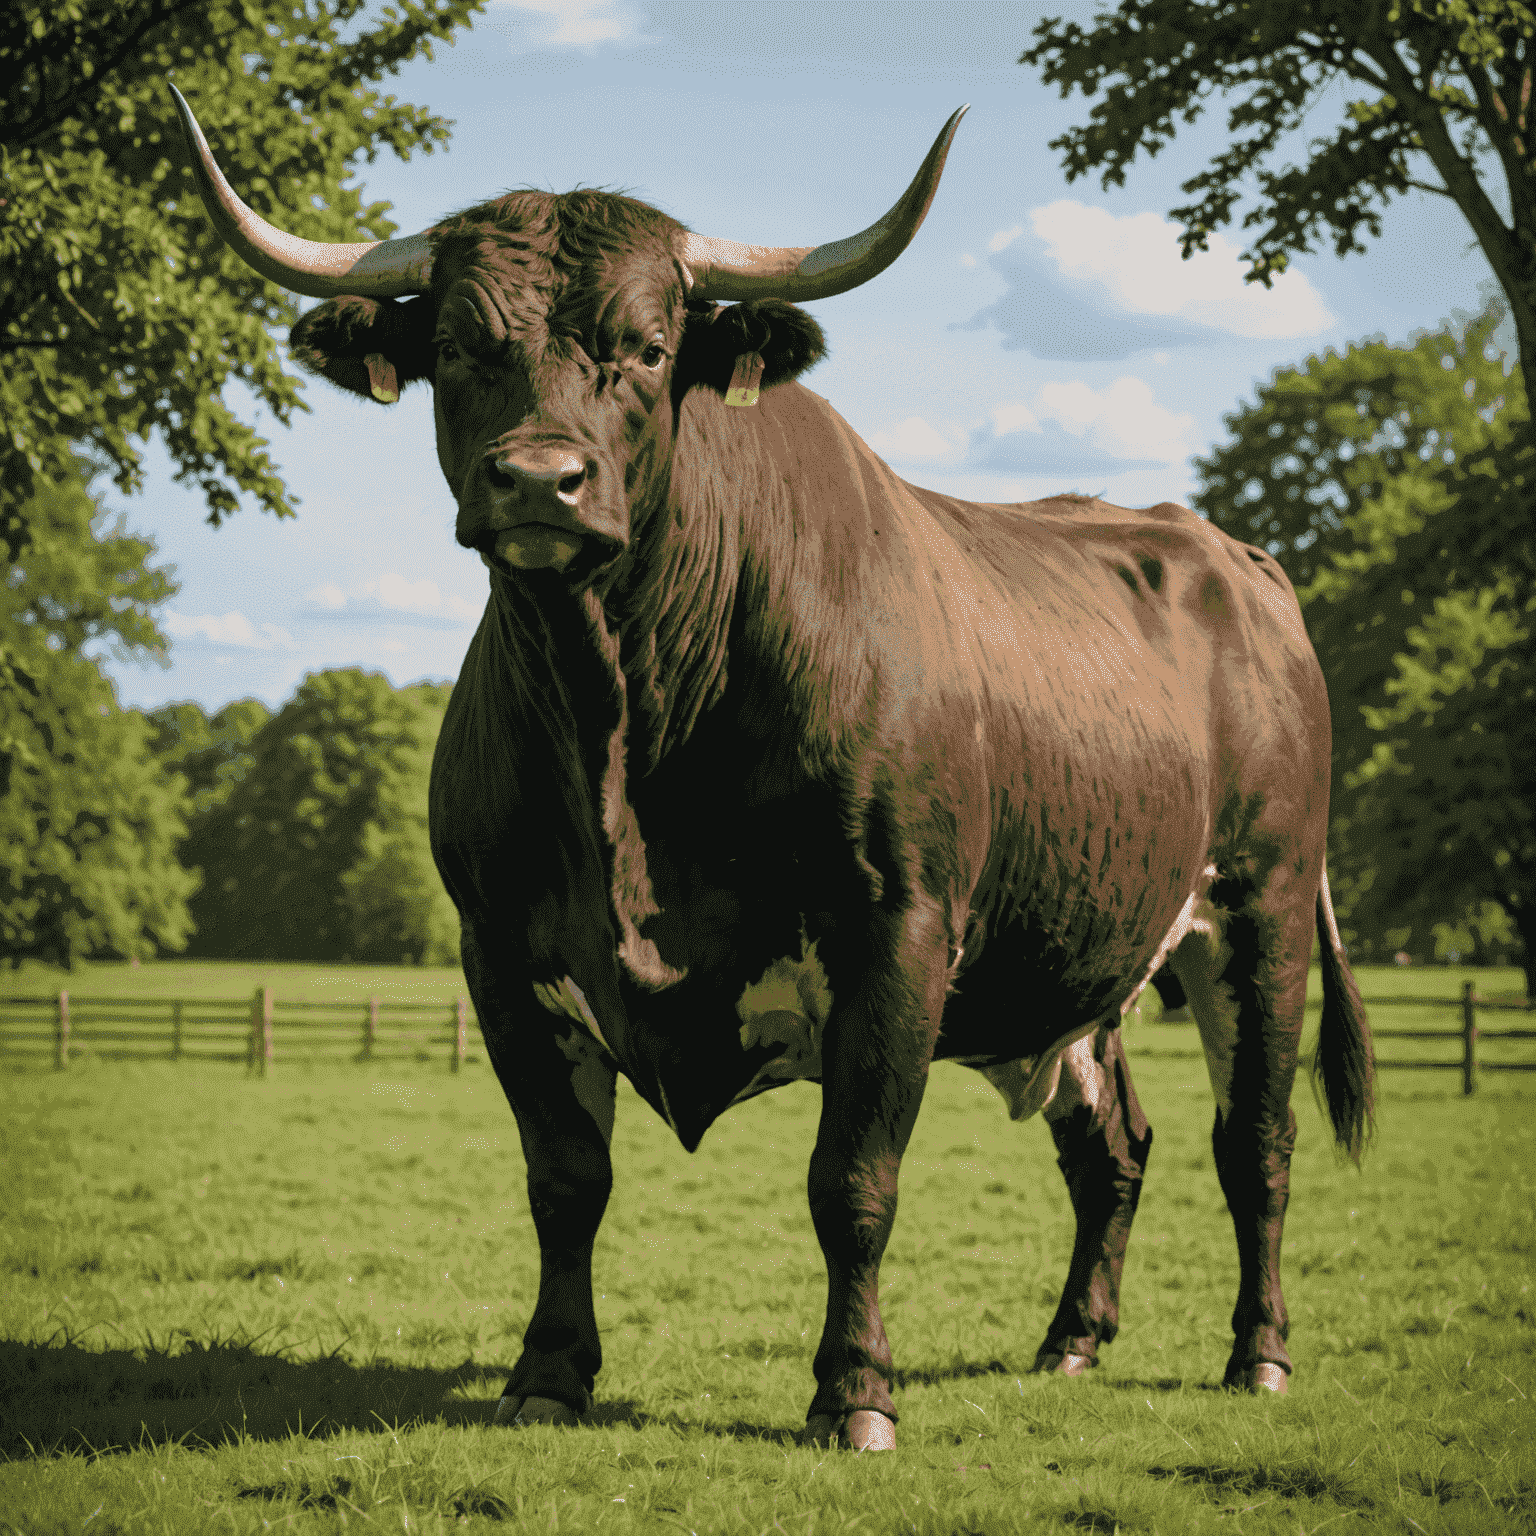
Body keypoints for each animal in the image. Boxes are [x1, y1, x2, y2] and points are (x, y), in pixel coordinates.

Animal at [171, 87, 1382, 1449]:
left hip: (1259, 914)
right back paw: (1072, 1340)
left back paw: (1259, 1354)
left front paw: (854, 1393)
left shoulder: (898, 933)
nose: (540, 480)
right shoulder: (502, 953)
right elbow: (564, 1180)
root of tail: (1227, 552)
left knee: (1258, 1142)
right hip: (1084, 963)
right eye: (461, 345)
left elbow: (851, 1182)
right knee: (1113, 1145)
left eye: (649, 346)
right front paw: (548, 1373)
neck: (624, 725)